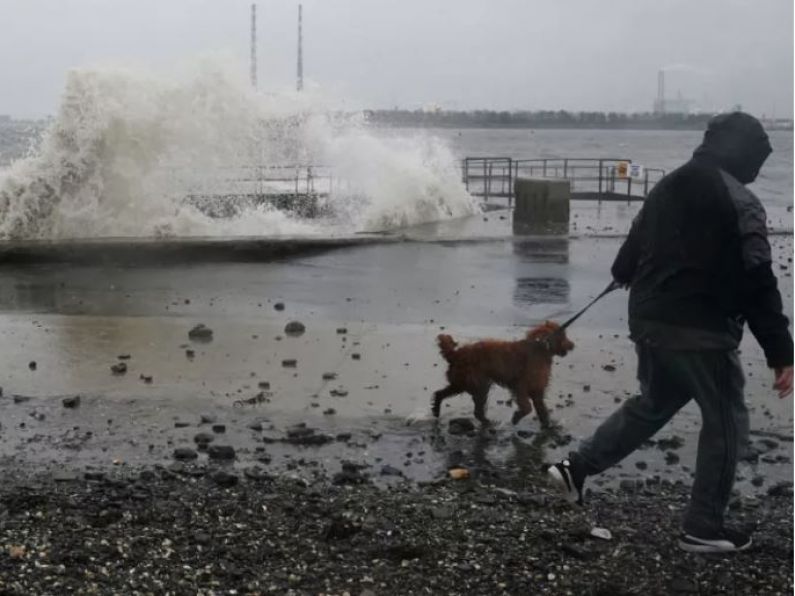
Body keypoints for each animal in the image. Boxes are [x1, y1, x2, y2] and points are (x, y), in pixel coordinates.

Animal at [436, 322, 572, 428]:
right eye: (564, 336)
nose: (572, 345)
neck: (542, 349)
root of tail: (455, 354)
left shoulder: (537, 389)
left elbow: (541, 409)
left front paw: (547, 425)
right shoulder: (520, 386)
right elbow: (527, 407)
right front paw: (516, 417)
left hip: (463, 383)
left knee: (440, 393)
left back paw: (436, 410)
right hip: (476, 384)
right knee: (477, 410)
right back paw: (487, 422)